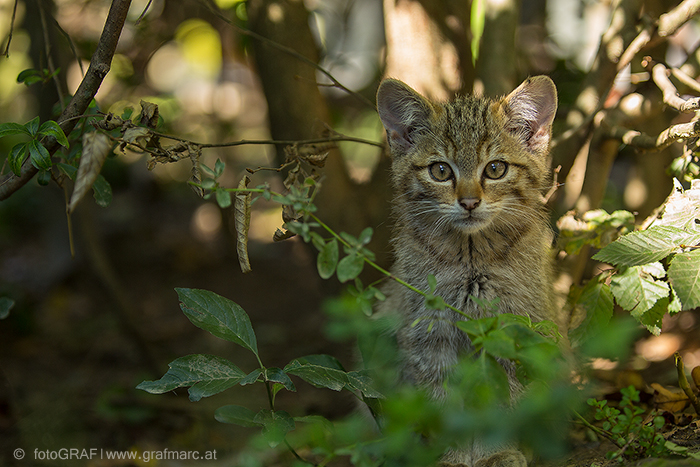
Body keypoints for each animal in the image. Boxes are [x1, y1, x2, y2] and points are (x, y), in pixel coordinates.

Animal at [374, 77, 560, 467]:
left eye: (495, 169)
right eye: (441, 171)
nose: (470, 202)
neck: (471, 258)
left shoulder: (512, 330)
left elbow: (508, 400)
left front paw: (498, 451)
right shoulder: (429, 337)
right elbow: (441, 404)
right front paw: (452, 455)